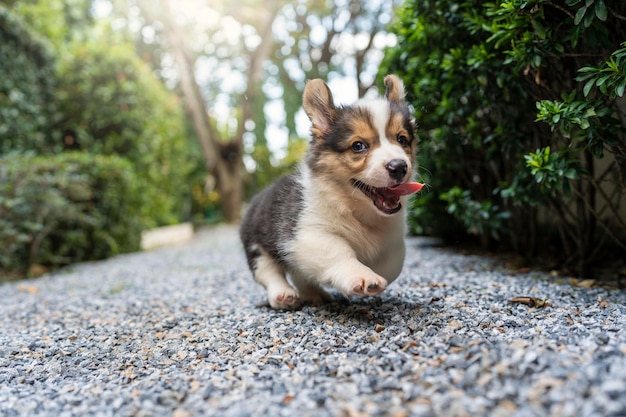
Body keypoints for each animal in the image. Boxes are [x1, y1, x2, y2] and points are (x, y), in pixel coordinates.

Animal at [241, 75, 422, 308]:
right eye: (358, 146)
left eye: (401, 140)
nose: (399, 167)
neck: (355, 210)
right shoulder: (308, 233)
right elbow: (338, 253)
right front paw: (363, 276)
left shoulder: (394, 240)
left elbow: (393, 264)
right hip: (257, 246)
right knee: (268, 272)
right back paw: (283, 295)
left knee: (299, 274)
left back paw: (314, 294)